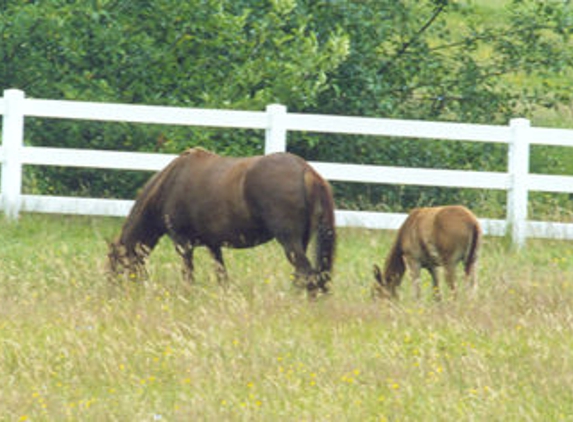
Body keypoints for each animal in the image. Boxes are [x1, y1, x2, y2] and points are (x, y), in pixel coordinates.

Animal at [107, 147, 336, 296]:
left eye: (114, 261)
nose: (112, 291)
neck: (170, 183)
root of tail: (306, 170)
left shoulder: (182, 243)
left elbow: (188, 273)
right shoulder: (213, 245)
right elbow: (221, 274)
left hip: (289, 241)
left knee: (307, 274)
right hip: (300, 242)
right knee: (303, 274)